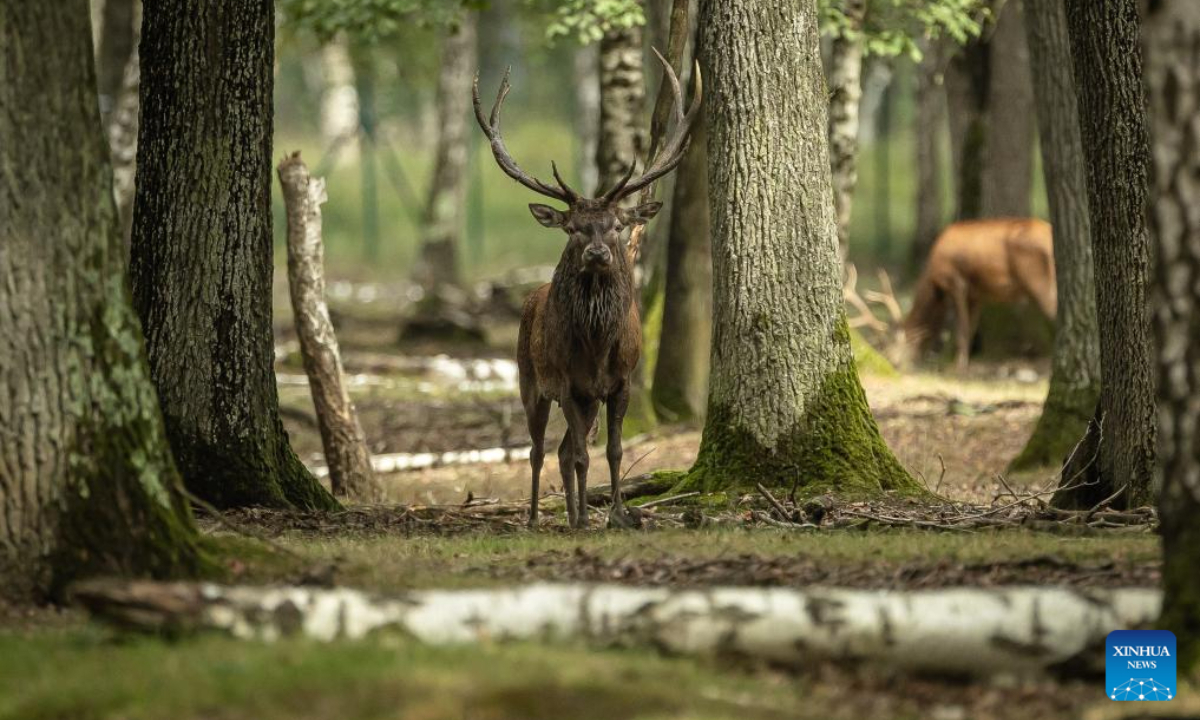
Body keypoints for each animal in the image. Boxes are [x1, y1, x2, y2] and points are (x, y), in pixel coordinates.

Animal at [474, 51, 702, 529]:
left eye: (616, 224)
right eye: (574, 228)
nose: (597, 253)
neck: (596, 346)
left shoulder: (619, 383)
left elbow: (612, 452)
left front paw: (617, 514)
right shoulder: (567, 383)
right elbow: (581, 456)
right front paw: (585, 519)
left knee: (561, 450)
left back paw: (573, 512)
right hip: (529, 379)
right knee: (538, 449)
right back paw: (537, 517)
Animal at [846, 218, 1057, 372]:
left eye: (894, 345)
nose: (893, 362)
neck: (932, 281)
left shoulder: (956, 282)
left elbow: (962, 329)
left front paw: (959, 367)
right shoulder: (976, 294)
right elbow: (971, 327)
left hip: (1040, 281)